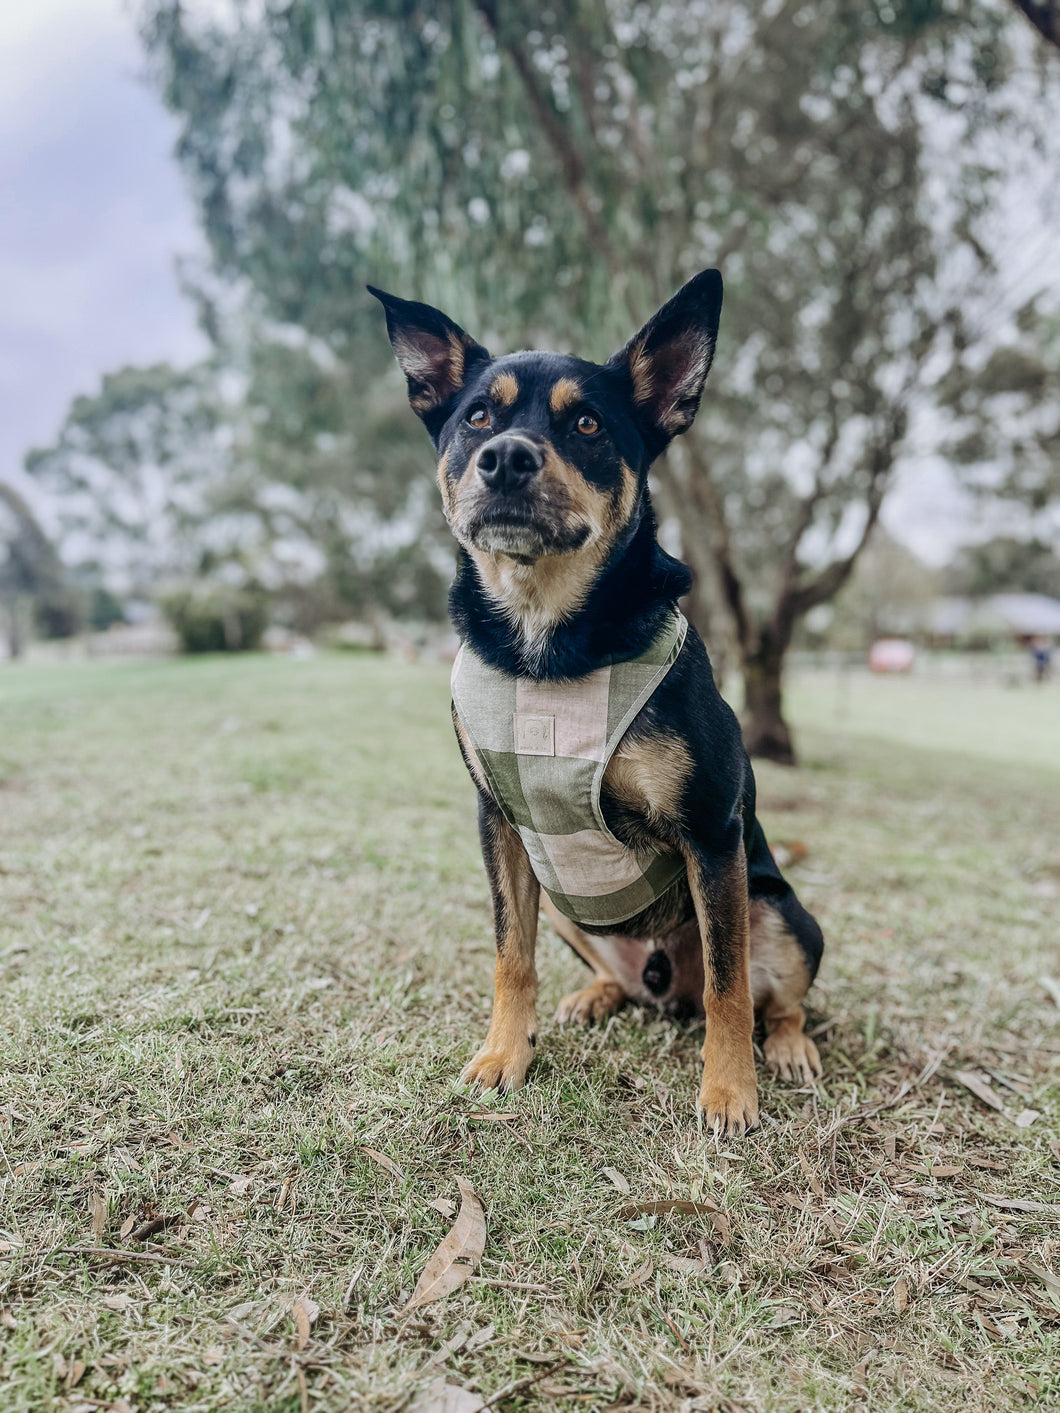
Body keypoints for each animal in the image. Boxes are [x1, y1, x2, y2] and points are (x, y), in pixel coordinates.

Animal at [370, 272, 825, 1136]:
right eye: (477, 416)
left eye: (586, 423)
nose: (506, 458)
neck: (546, 645)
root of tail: (665, 984)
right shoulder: (500, 823)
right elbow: (510, 956)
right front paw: (503, 1054)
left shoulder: (712, 834)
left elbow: (729, 985)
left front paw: (730, 1093)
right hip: (567, 909)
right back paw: (596, 994)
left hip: (780, 909)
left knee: (767, 997)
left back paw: (784, 1048)